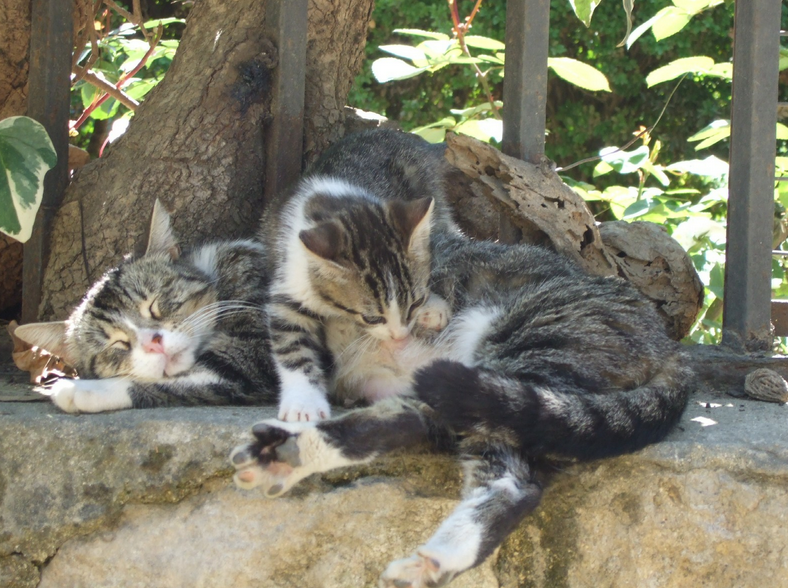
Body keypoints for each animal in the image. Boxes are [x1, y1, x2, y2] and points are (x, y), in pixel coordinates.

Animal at [264, 130, 458, 422]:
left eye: (414, 303)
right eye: (371, 318)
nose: (400, 337)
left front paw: (432, 306)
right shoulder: (288, 284)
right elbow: (292, 344)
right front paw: (303, 403)